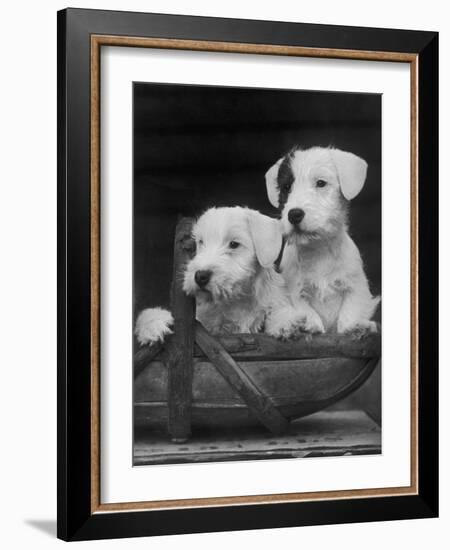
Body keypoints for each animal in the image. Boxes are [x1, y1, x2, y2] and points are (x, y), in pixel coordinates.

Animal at [266, 147, 382, 336]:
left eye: (321, 183)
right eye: (286, 187)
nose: (294, 214)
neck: (318, 249)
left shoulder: (356, 287)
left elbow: (350, 311)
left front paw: (355, 326)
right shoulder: (294, 291)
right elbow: (305, 310)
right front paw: (308, 325)